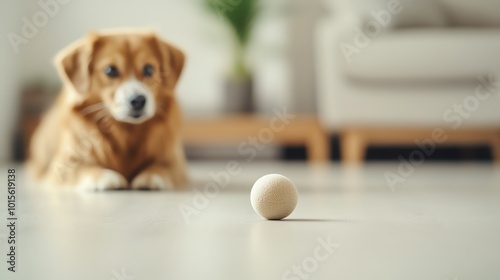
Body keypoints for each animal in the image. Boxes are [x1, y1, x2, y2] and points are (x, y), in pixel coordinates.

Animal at [29, 29, 189, 191]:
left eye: (149, 69)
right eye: (110, 70)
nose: (138, 100)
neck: (126, 132)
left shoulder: (176, 163)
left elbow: (163, 167)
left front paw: (152, 175)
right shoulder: (61, 166)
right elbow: (84, 168)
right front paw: (105, 175)